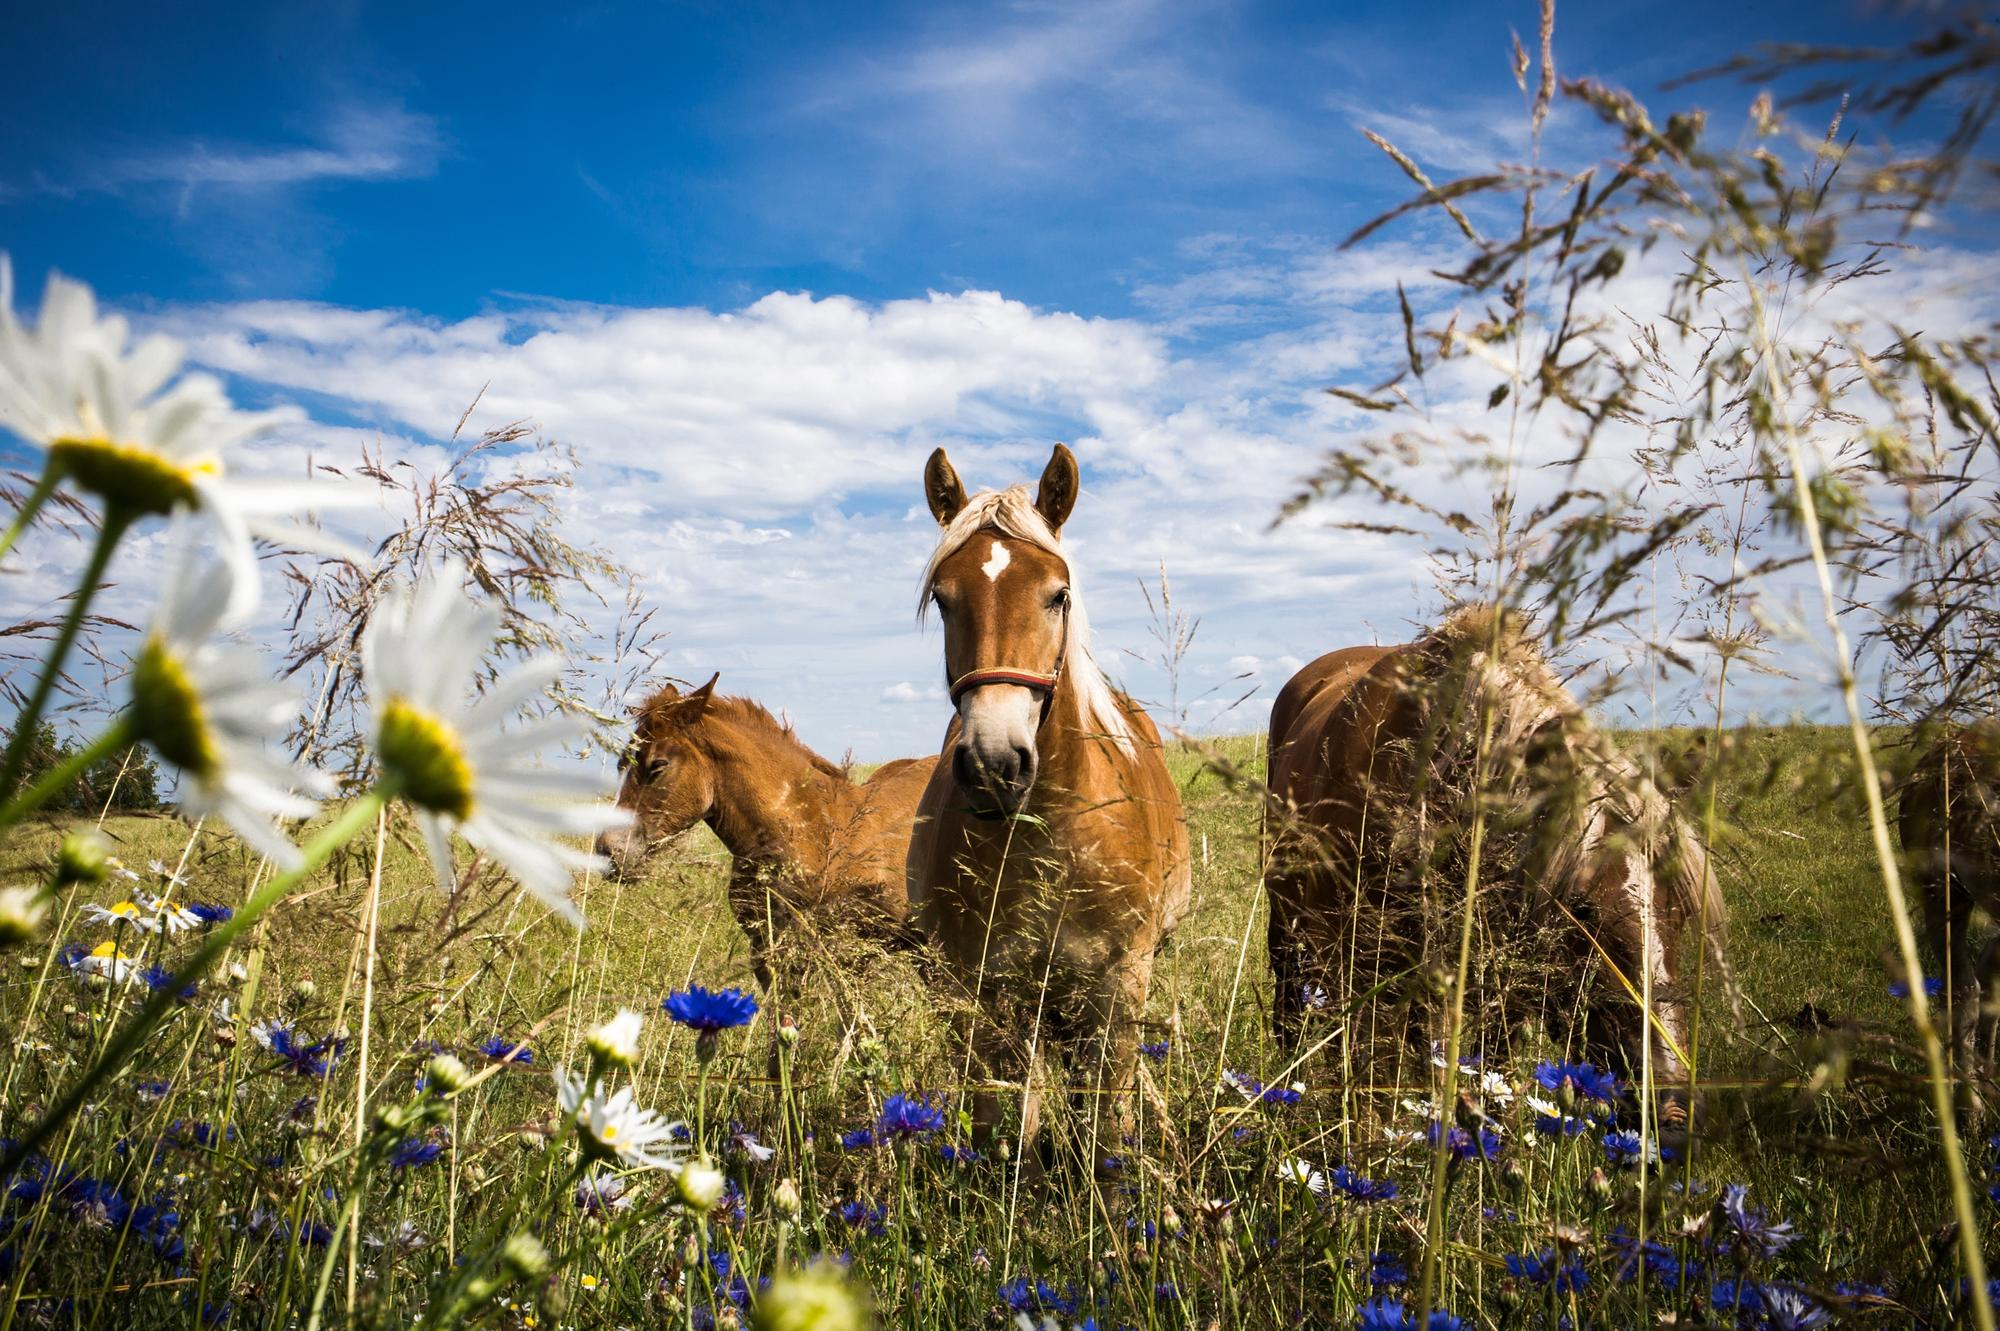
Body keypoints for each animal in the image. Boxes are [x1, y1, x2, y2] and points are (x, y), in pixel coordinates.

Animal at [596, 675, 936, 997]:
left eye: (657, 766)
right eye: (621, 764)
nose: (608, 851)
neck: (814, 835)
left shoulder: (848, 955)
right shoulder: (767, 951)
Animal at [906, 443, 1191, 1173]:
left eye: (1057, 594)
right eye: (943, 599)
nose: (994, 765)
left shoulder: (1118, 986)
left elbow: (1109, 1128)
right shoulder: (976, 991)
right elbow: (995, 1120)